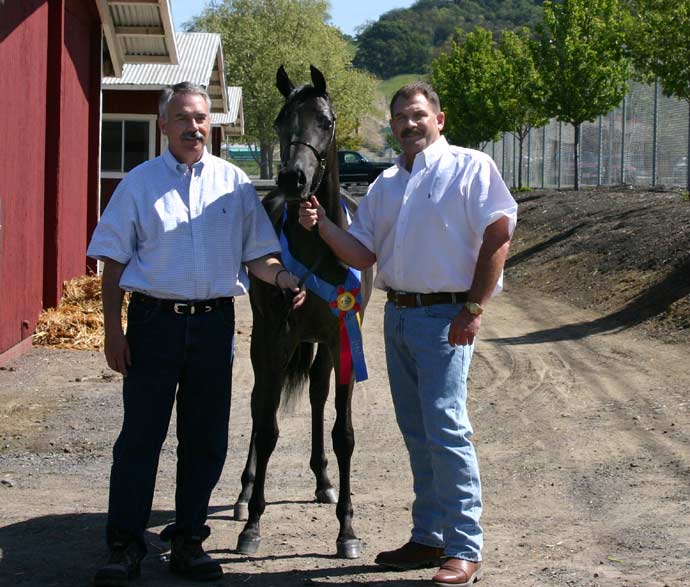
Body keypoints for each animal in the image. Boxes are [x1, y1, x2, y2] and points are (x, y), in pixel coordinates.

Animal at [231, 65, 370, 560]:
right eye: (279, 121)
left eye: (325, 122)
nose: (293, 179)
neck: (317, 249)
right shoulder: (276, 339)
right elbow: (267, 426)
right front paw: (253, 523)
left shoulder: (341, 338)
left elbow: (344, 434)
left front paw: (346, 530)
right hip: (265, 343)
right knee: (259, 405)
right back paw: (242, 494)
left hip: (320, 346)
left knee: (315, 396)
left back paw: (323, 481)